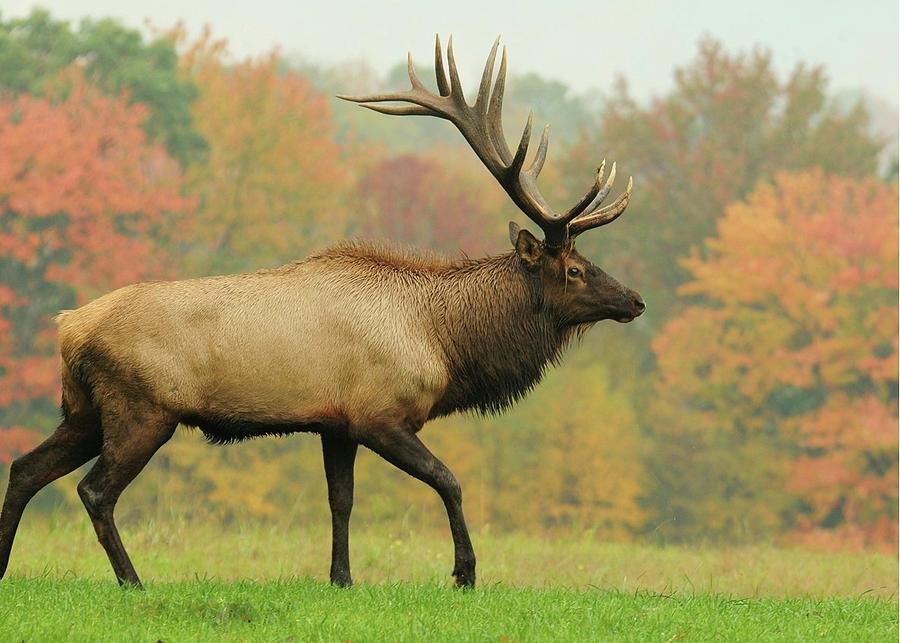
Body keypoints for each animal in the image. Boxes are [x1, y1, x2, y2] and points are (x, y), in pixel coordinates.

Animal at [0, 35, 648, 588]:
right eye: (574, 270)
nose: (636, 299)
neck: (442, 341)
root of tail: (68, 327)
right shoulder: (380, 414)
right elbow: (449, 480)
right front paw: (464, 573)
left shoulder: (335, 423)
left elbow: (341, 501)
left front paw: (341, 578)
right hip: (141, 409)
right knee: (94, 491)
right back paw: (133, 581)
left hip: (83, 409)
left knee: (25, 468)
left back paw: (6, 568)